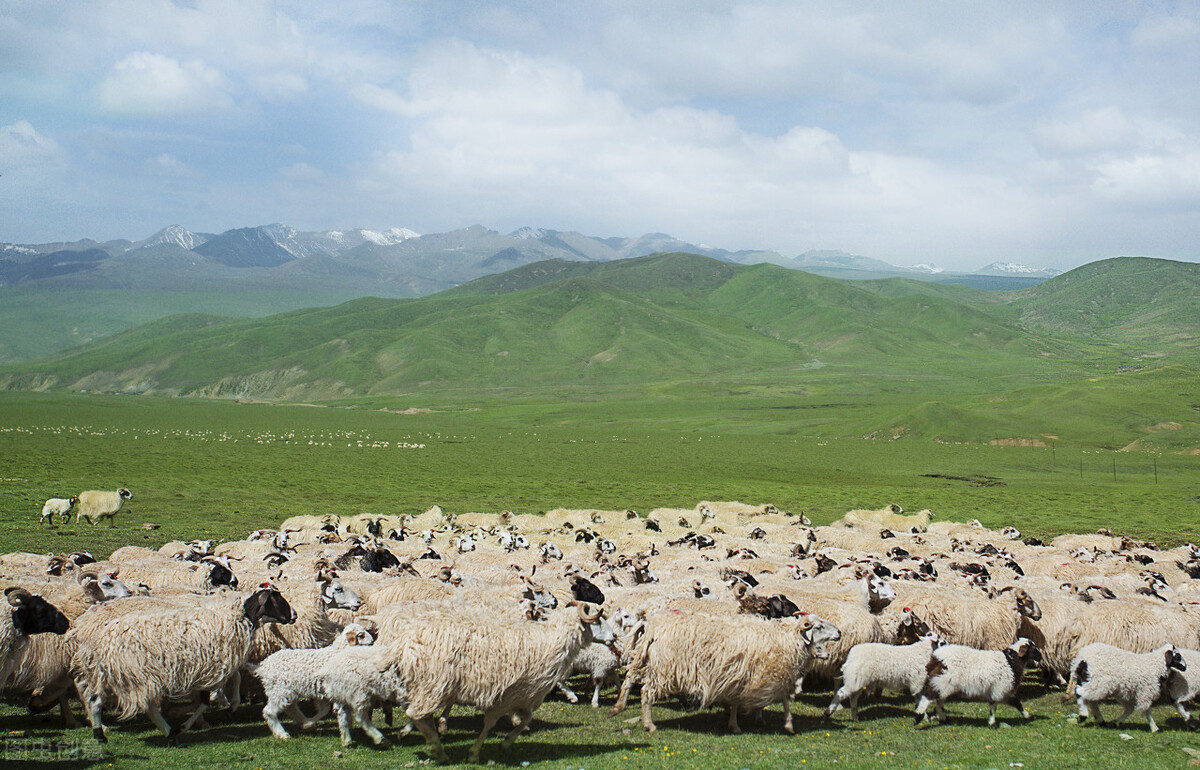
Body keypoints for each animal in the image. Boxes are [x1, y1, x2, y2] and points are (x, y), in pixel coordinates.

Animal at [70, 585, 295, 738]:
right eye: (279, 600)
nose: (294, 615)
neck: (237, 616)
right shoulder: (211, 667)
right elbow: (207, 699)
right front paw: (193, 721)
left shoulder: (210, 666)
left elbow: (230, 682)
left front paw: (226, 706)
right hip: (136, 674)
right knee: (140, 703)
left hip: (114, 674)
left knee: (95, 698)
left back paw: (101, 731)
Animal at [609, 604, 844, 729]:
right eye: (819, 626)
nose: (839, 633)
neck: (784, 638)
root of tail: (653, 625)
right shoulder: (758, 676)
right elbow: (783, 701)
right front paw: (785, 724)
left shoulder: (742, 676)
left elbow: (739, 702)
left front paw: (739, 720)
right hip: (666, 668)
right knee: (646, 692)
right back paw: (649, 725)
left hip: (652, 662)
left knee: (630, 677)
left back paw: (618, 707)